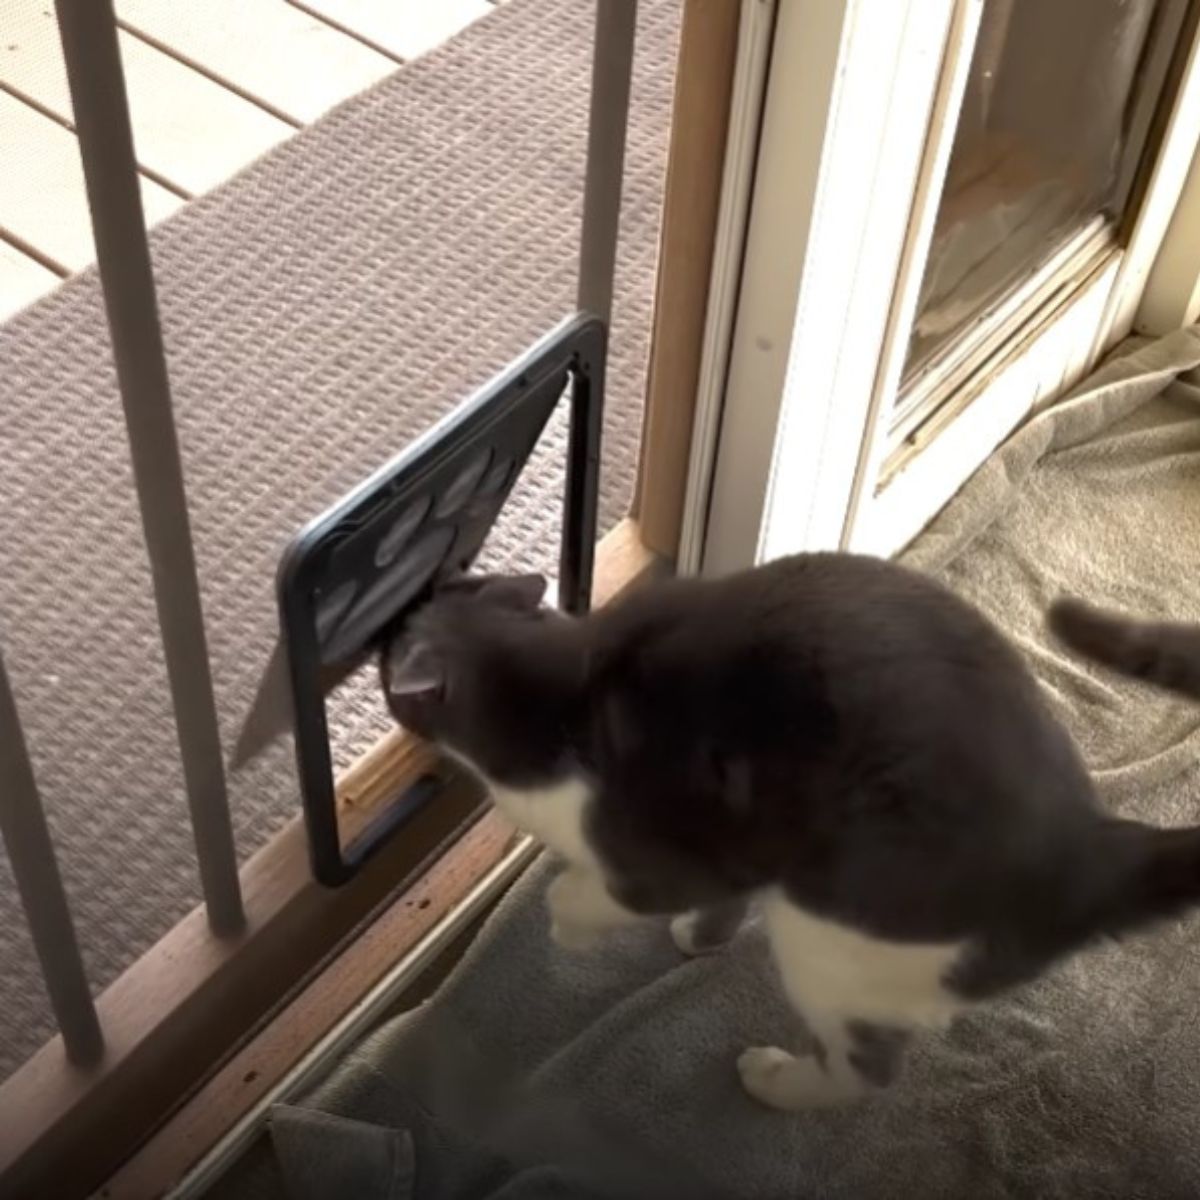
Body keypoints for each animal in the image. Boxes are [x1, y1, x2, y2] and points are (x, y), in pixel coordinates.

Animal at [379, 556, 1200, 1108]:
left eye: (390, 657)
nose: (388, 627)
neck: (560, 685)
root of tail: (1092, 851)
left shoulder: (655, 852)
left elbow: (585, 894)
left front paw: (569, 926)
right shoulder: (738, 842)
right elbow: (723, 895)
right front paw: (698, 937)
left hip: (833, 934)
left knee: (866, 1070)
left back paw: (777, 1081)